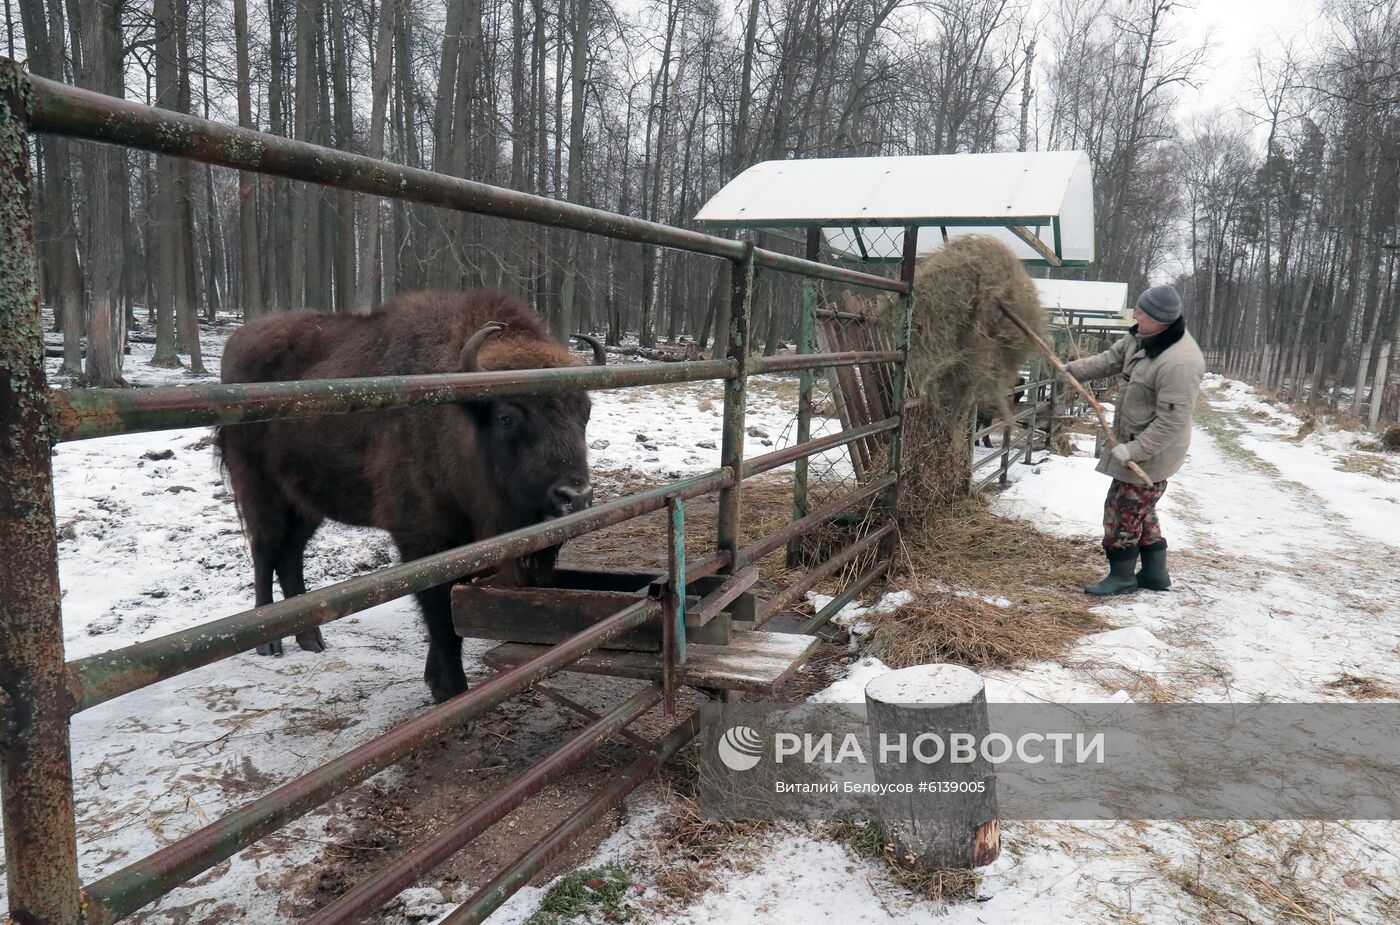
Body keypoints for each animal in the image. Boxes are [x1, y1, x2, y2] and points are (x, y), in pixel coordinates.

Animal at [215, 288, 599, 699]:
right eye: (507, 417)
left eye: (585, 412)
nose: (575, 496)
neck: (458, 418)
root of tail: (237, 341)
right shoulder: (423, 538)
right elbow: (440, 614)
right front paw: (450, 690)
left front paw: (435, 679)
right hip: (259, 489)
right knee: (265, 548)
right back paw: (269, 645)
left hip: (306, 504)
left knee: (291, 554)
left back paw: (311, 639)